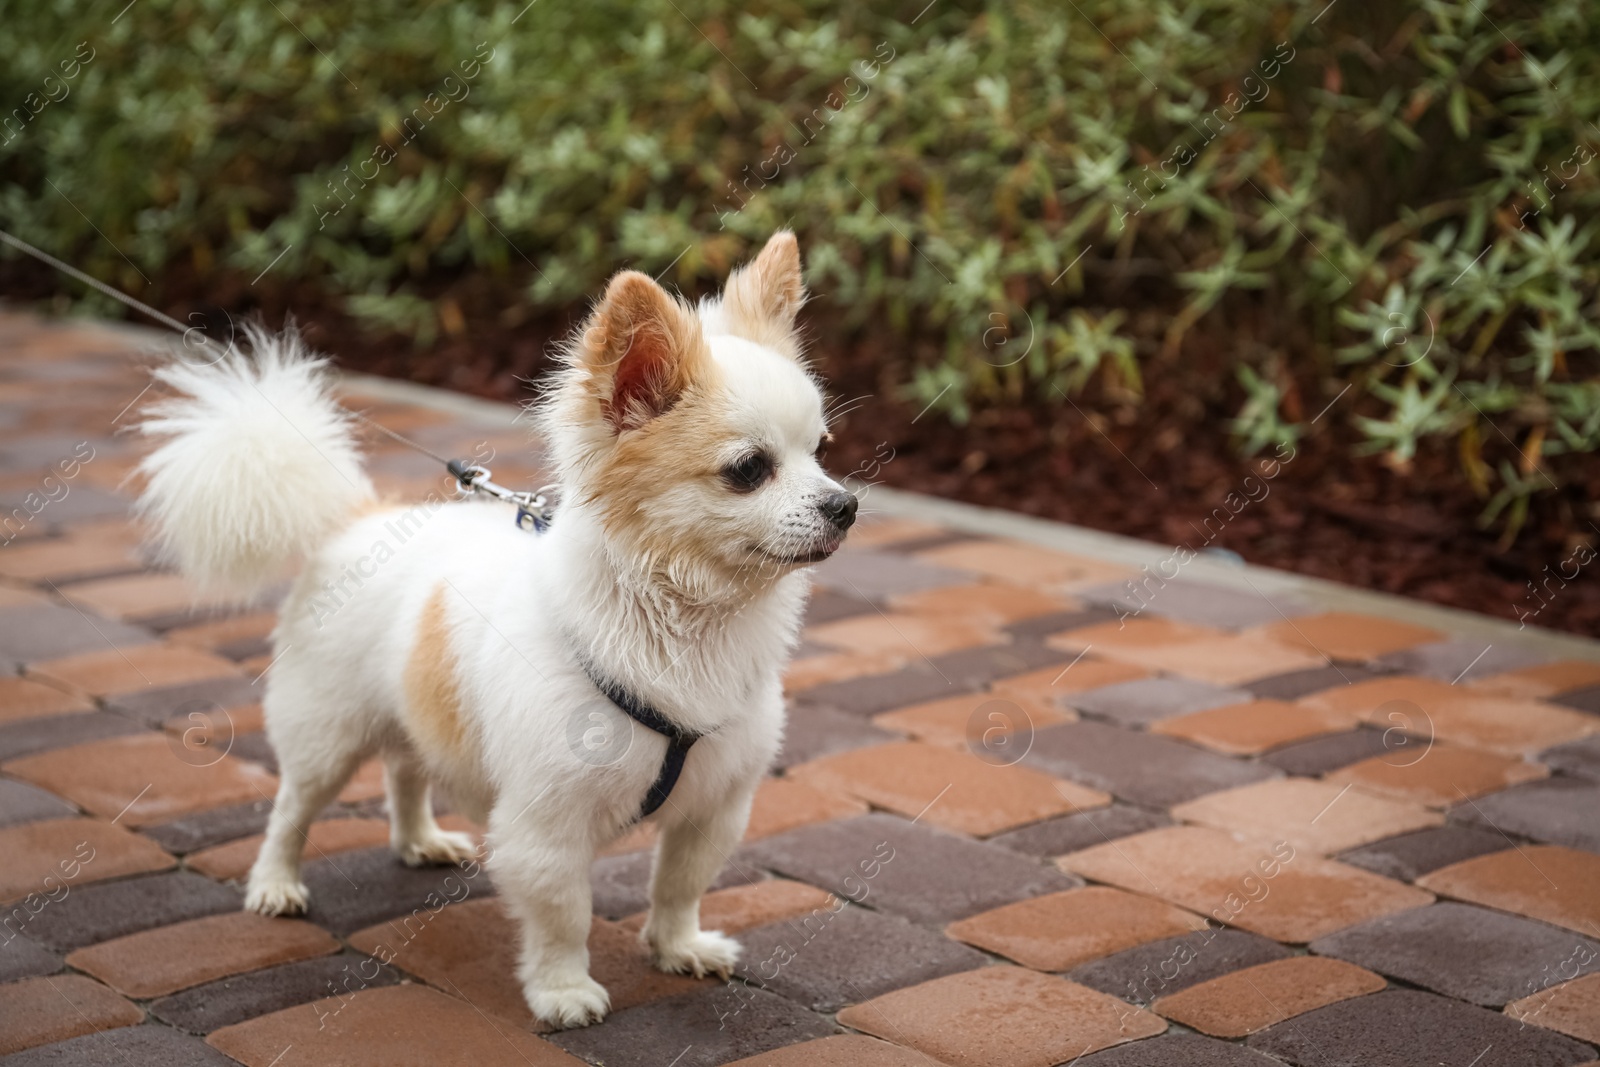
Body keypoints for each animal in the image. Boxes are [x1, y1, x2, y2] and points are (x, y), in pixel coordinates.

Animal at [131, 233, 857, 1023]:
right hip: (327, 732)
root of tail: (357, 518)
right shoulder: (548, 824)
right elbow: (565, 913)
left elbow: (679, 884)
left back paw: (418, 839)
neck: (688, 623)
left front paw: (677, 947)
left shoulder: (716, 807)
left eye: (822, 450)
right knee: (293, 807)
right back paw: (276, 883)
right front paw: (564, 989)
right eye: (750, 469)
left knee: (406, 767)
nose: (846, 505)